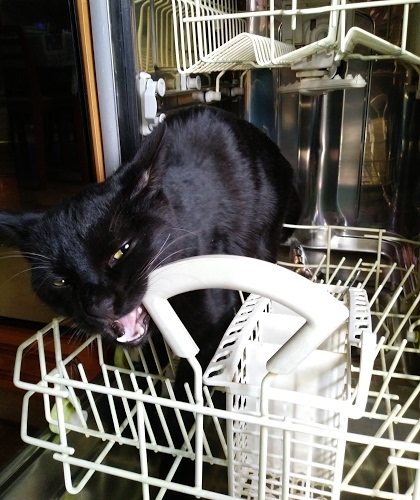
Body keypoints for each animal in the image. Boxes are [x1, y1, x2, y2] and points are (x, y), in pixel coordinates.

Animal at [0, 104, 300, 494]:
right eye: (61, 281)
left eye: (121, 251)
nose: (98, 303)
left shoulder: (209, 334)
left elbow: (190, 404)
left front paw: (180, 467)